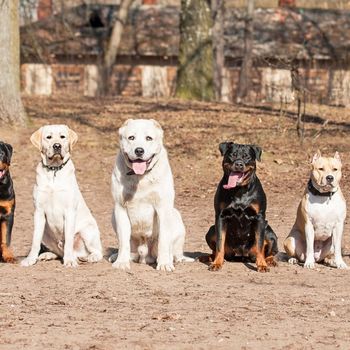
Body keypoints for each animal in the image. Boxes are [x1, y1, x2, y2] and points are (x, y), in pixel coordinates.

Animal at [20, 124, 102, 266]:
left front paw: (69, 261)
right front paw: (30, 259)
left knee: (97, 251)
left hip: (87, 230)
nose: (57, 146)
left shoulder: (69, 211)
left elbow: (68, 240)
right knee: (58, 252)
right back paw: (47, 255)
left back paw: (87, 257)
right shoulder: (39, 212)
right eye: (49, 137)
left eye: (62, 136)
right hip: (46, 233)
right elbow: (35, 241)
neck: (54, 170)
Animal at [110, 117, 193, 270]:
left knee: (175, 252)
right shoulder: (120, 207)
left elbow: (164, 240)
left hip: (176, 216)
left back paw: (173, 258)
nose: (139, 150)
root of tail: (144, 255)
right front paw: (121, 262)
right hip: (113, 215)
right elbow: (123, 240)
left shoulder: (163, 209)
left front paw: (164, 264)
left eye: (148, 138)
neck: (140, 177)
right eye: (131, 137)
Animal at [204, 141, 278, 272]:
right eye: (232, 155)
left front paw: (262, 265)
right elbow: (219, 242)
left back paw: (269, 261)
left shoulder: (259, 217)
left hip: (270, 234)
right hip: (211, 231)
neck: (239, 190)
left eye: (247, 157)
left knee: (269, 251)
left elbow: (260, 243)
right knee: (216, 248)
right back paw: (210, 258)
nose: (239, 164)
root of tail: (242, 255)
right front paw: (217, 263)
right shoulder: (221, 216)